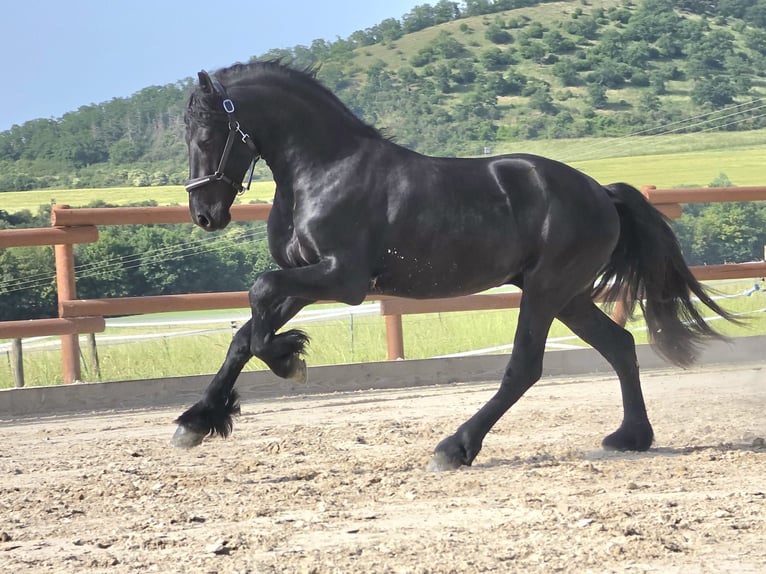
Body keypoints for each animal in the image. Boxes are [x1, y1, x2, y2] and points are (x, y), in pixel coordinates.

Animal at [173, 60, 735, 470]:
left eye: (208, 135)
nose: (205, 214)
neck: (325, 170)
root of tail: (602, 193)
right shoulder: (308, 278)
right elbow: (245, 334)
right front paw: (197, 421)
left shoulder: (342, 278)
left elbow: (260, 296)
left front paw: (289, 361)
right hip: (570, 296)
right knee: (618, 346)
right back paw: (630, 437)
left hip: (547, 290)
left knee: (525, 366)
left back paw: (456, 447)